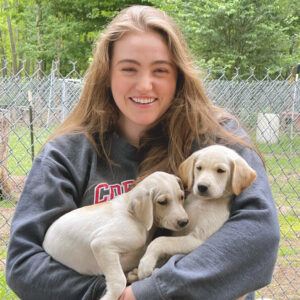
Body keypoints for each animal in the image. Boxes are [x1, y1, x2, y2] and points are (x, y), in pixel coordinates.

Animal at [42, 171, 188, 300]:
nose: (184, 222)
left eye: (181, 197)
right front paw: (109, 297)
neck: (133, 215)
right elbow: (119, 281)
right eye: (162, 202)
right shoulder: (102, 244)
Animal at [137, 145, 256, 284]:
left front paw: (145, 263)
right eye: (199, 168)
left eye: (221, 170)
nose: (202, 187)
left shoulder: (197, 239)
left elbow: (161, 241)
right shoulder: (180, 229)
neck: (202, 202)